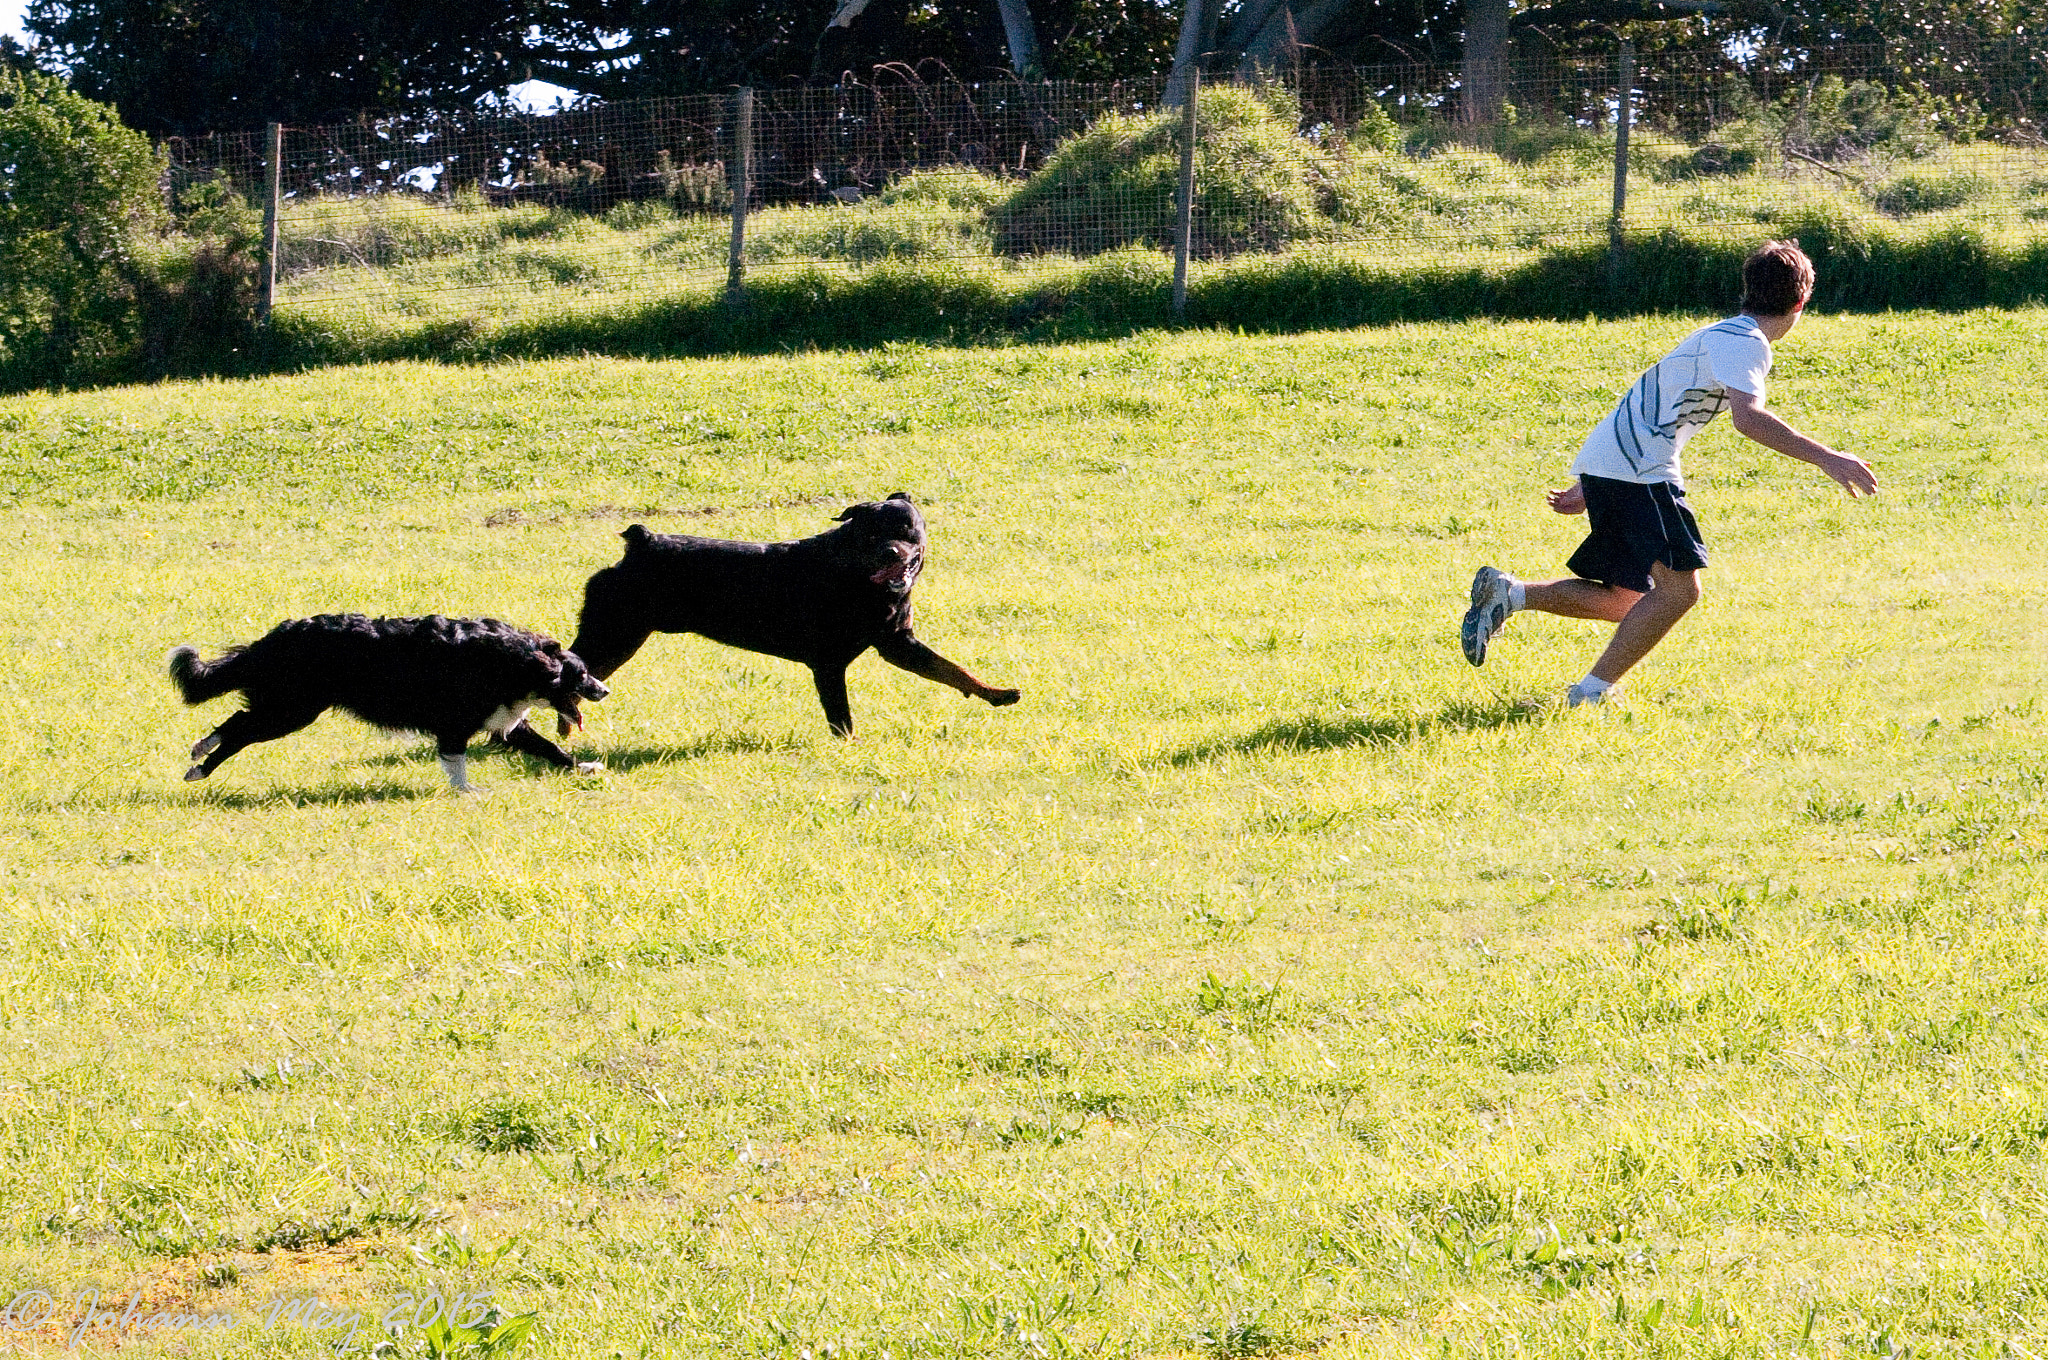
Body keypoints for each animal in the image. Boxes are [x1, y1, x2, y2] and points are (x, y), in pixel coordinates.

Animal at [167, 610, 606, 790]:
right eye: (581, 674)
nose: (604, 690)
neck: (517, 661)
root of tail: (278, 636)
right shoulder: (454, 724)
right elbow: (457, 764)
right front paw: (468, 792)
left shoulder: (505, 724)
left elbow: (549, 748)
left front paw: (584, 767)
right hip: (293, 710)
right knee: (240, 730)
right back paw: (200, 768)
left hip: (284, 706)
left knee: (236, 721)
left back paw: (199, 754)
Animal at [565, 493, 1019, 737]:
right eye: (869, 534)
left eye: (906, 528)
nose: (890, 551)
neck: (854, 577)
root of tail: (639, 544)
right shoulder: (830, 665)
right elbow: (842, 719)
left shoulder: (898, 644)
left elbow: (953, 669)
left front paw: (995, 693)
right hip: (614, 635)